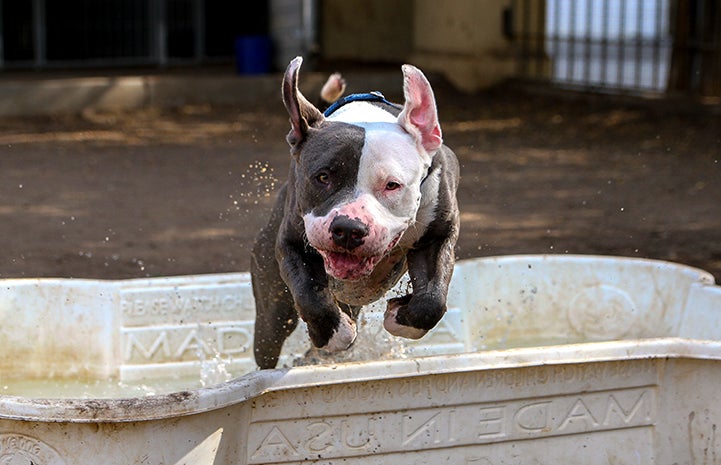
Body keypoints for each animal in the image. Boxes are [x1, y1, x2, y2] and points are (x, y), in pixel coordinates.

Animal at [250, 57, 458, 370]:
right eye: (323, 177)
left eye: (392, 185)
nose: (348, 228)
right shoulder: (292, 243)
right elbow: (310, 295)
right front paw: (335, 334)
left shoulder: (439, 235)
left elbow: (432, 299)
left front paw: (400, 316)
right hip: (271, 306)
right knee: (269, 339)